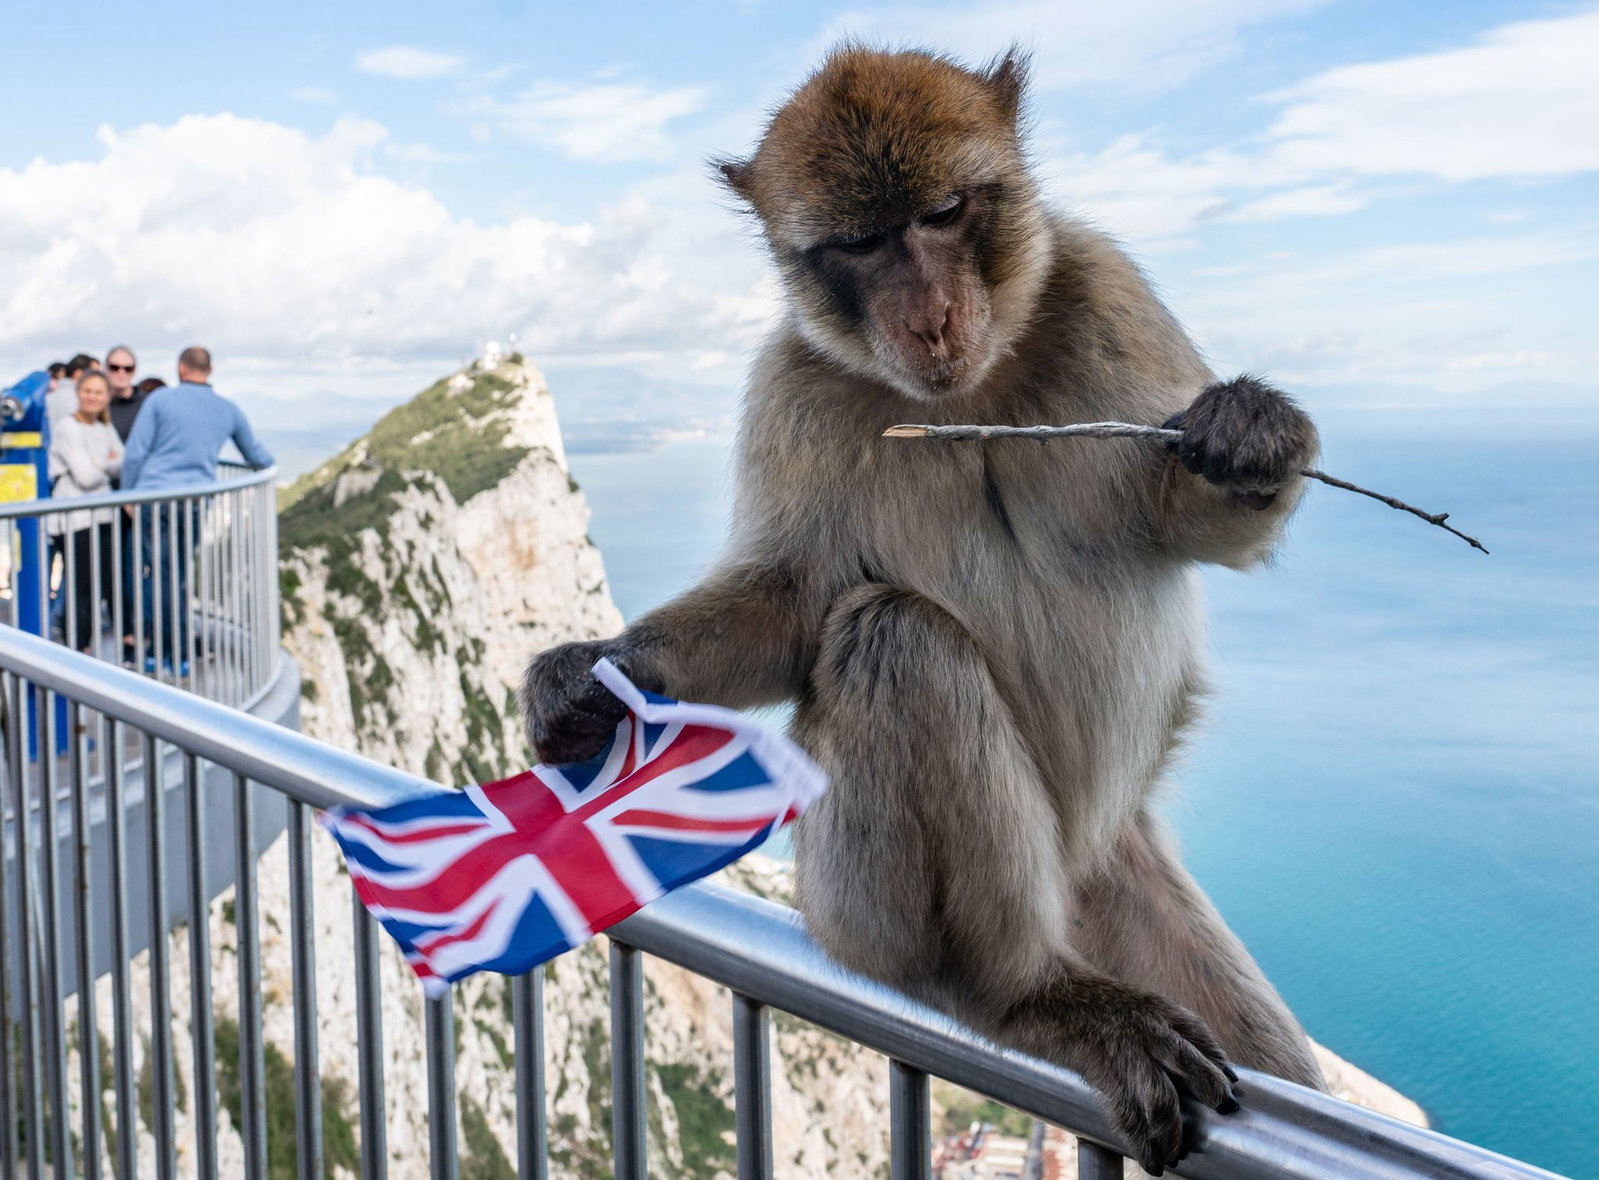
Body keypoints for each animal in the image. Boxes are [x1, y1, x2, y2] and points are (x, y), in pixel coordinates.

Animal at [522, 46, 1326, 1175]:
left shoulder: (1105, 286)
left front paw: (1253, 434)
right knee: (890, 638)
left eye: (943, 213)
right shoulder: (792, 387)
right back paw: (1025, 994)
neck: (963, 393)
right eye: (862, 244)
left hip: (1114, 880)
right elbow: (797, 606)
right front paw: (598, 669)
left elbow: (1197, 526)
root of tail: (1073, 865)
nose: (930, 315)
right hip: (844, 898)